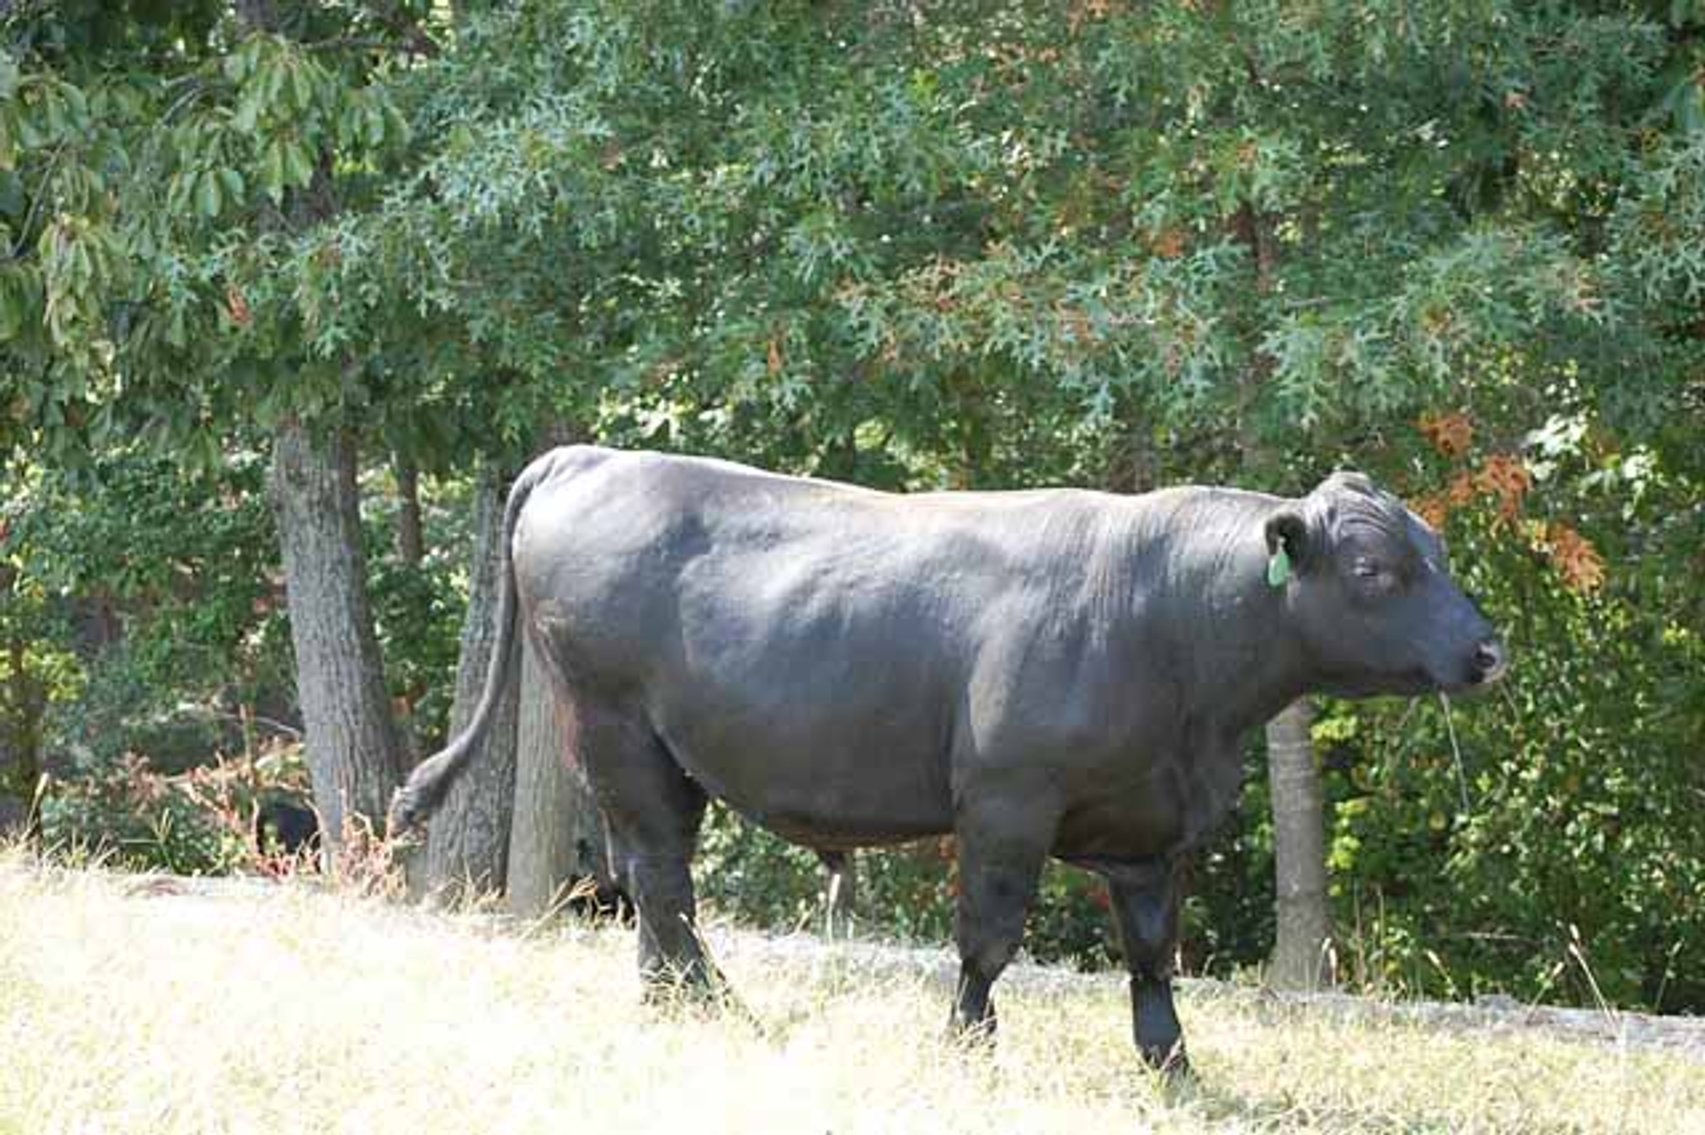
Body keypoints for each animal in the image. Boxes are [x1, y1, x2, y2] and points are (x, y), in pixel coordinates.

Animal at [391, 446, 1504, 1073]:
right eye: (1371, 568)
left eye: (1439, 551)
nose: (1487, 650)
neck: (1167, 620)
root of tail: (589, 455)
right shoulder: (1007, 801)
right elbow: (988, 938)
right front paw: (968, 1045)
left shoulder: (1153, 825)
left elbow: (1151, 950)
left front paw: (1172, 1065)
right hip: (610, 722)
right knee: (662, 877)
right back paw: (715, 1006)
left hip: (656, 751)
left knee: (646, 876)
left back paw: (664, 1002)